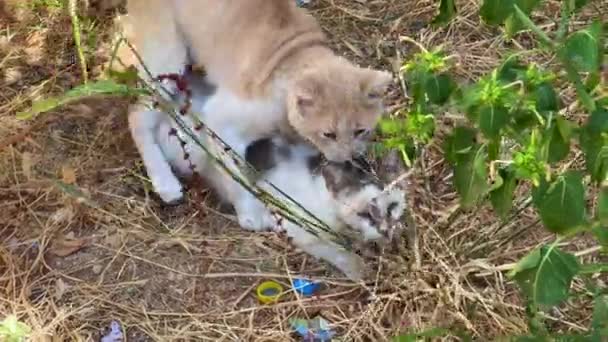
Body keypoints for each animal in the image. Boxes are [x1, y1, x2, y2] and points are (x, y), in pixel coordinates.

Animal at [122, 0, 394, 231]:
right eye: (329, 134)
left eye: (360, 131)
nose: (350, 158)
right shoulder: (220, 122)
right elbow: (237, 177)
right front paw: (250, 215)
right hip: (167, 58)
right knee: (137, 115)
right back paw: (165, 183)